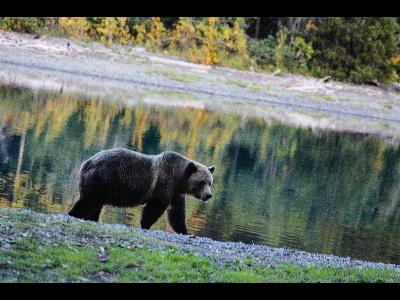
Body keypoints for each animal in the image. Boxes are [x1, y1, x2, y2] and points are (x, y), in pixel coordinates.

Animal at [67, 148, 216, 234]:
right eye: (201, 182)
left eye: (210, 182)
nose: (208, 195)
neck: (179, 179)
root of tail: (86, 163)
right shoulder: (164, 184)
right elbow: (155, 207)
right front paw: (145, 224)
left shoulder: (175, 193)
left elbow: (177, 213)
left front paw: (184, 231)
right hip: (101, 180)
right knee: (87, 203)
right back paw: (73, 214)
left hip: (102, 188)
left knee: (95, 206)